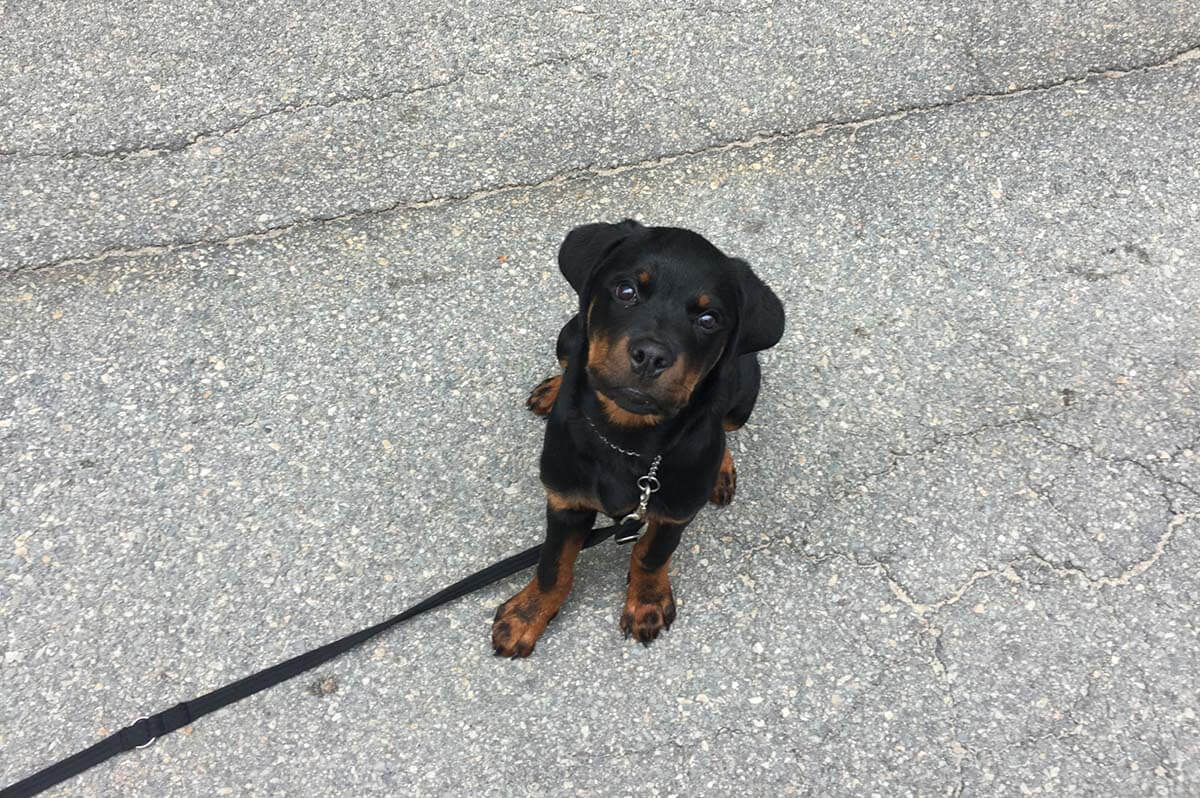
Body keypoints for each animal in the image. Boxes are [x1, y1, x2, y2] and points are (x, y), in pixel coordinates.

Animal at [489, 218, 782, 652]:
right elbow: (553, 564)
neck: (626, 440)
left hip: (743, 395)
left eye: (709, 318)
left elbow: (650, 554)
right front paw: (527, 615)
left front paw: (646, 604)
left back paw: (721, 471)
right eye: (626, 291)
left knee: (724, 430)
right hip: (568, 336)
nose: (651, 356)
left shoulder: (674, 512)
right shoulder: (565, 500)